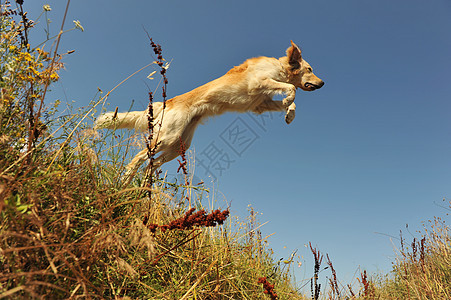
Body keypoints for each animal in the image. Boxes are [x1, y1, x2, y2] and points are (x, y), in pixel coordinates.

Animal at [96, 41, 324, 175]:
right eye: (310, 69)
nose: (323, 83)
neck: (280, 68)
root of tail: (168, 102)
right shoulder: (258, 83)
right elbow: (290, 89)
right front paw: (289, 102)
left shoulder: (260, 103)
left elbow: (290, 99)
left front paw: (289, 113)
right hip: (166, 138)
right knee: (138, 160)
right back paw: (126, 183)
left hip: (178, 146)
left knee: (150, 166)